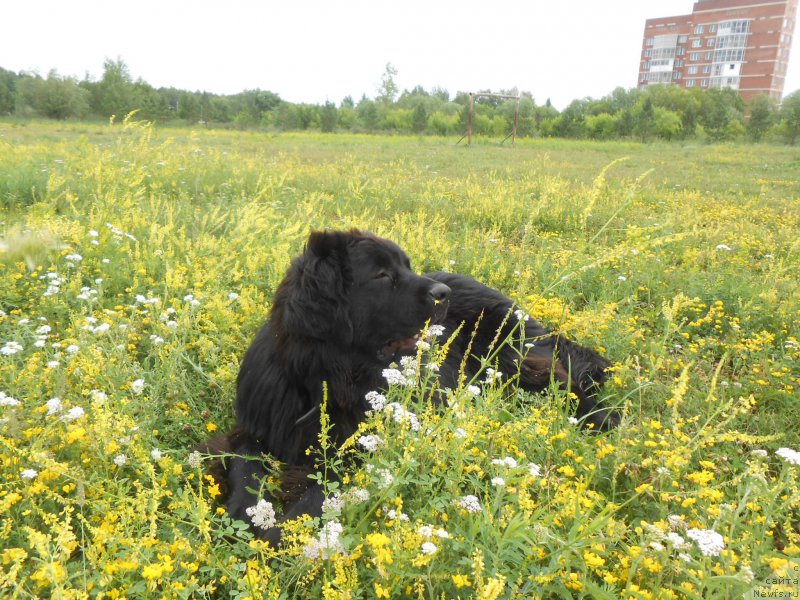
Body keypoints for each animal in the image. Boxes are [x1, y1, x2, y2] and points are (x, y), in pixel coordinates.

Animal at [208, 227, 620, 540]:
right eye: (381, 275)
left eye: (406, 267)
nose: (443, 295)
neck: (325, 379)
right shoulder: (257, 428)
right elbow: (245, 469)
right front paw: (247, 517)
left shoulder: (362, 448)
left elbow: (318, 493)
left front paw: (283, 532)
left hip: (514, 356)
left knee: (564, 379)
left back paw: (602, 418)